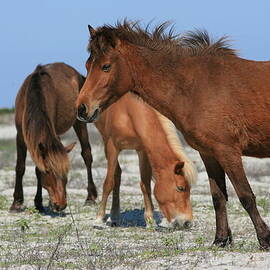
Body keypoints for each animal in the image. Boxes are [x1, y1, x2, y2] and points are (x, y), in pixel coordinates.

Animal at [11, 62, 98, 212]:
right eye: (48, 171)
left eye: (66, 172)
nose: (61, 205)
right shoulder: (21, 136)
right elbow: (21, 167)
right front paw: (18, 203)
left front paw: (39, 202)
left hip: (79, 122)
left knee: (87, 155)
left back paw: (90, 198)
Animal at [86, 93, 196, 228]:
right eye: (181, 188)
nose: (187, 222)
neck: (127, 112)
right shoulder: (112, 148)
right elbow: (108, 183)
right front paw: (99, 218)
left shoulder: (142, 150)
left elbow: (145, 184)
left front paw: (149, 219)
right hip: (106, 142)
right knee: (115, 175)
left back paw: (115, 216)